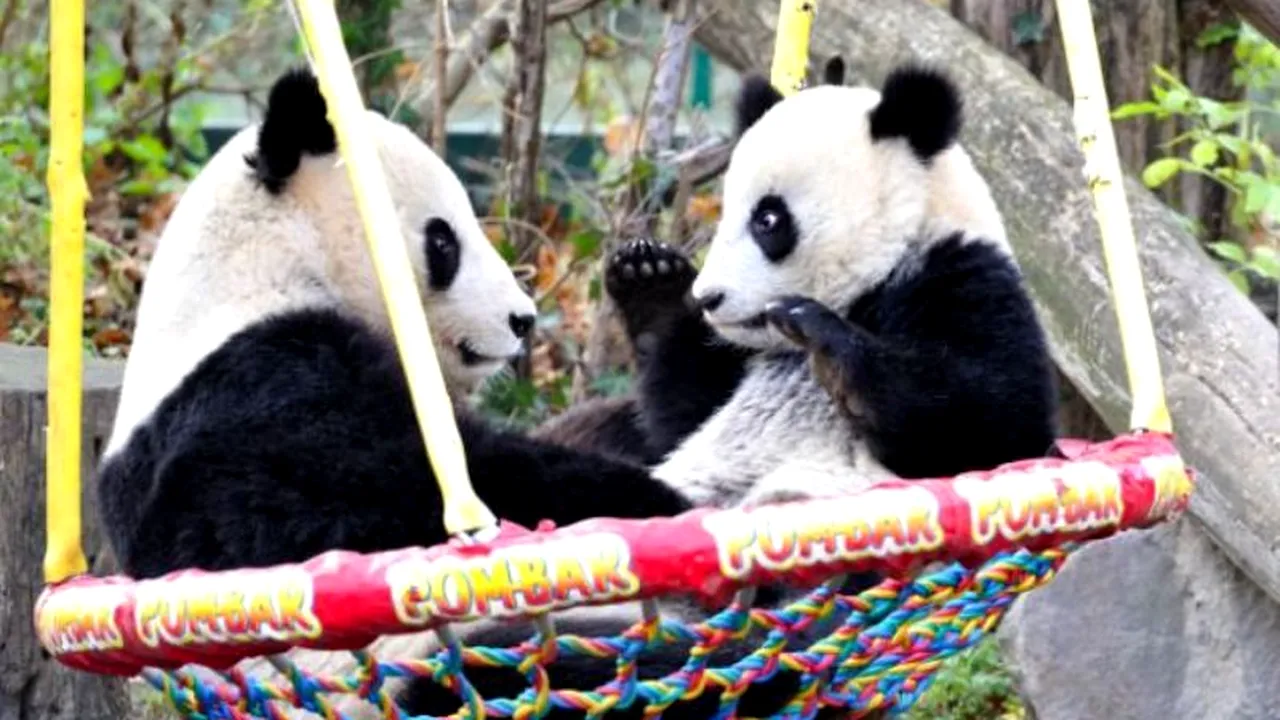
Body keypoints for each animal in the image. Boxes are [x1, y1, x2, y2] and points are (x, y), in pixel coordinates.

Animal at [402, 61, 1058, 718]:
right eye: (726, 209)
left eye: (768, 220)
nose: (711, 298)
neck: (878, 276)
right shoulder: (731, 365)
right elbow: (684, 410)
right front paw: (652, 282)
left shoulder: (960, 277)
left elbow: (997, 423)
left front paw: (827, 340)